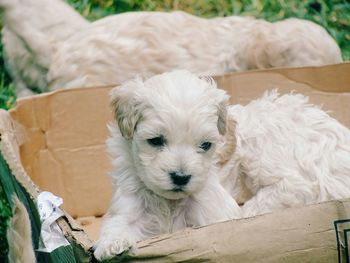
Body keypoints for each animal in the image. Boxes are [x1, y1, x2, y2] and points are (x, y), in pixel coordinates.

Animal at [94, 70, 242, 262]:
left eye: (205, 145)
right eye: (156, 140)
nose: (181, 177)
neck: (169, 202)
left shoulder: (210, 212)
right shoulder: (129, 206)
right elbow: (120, 223)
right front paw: (113, 244)